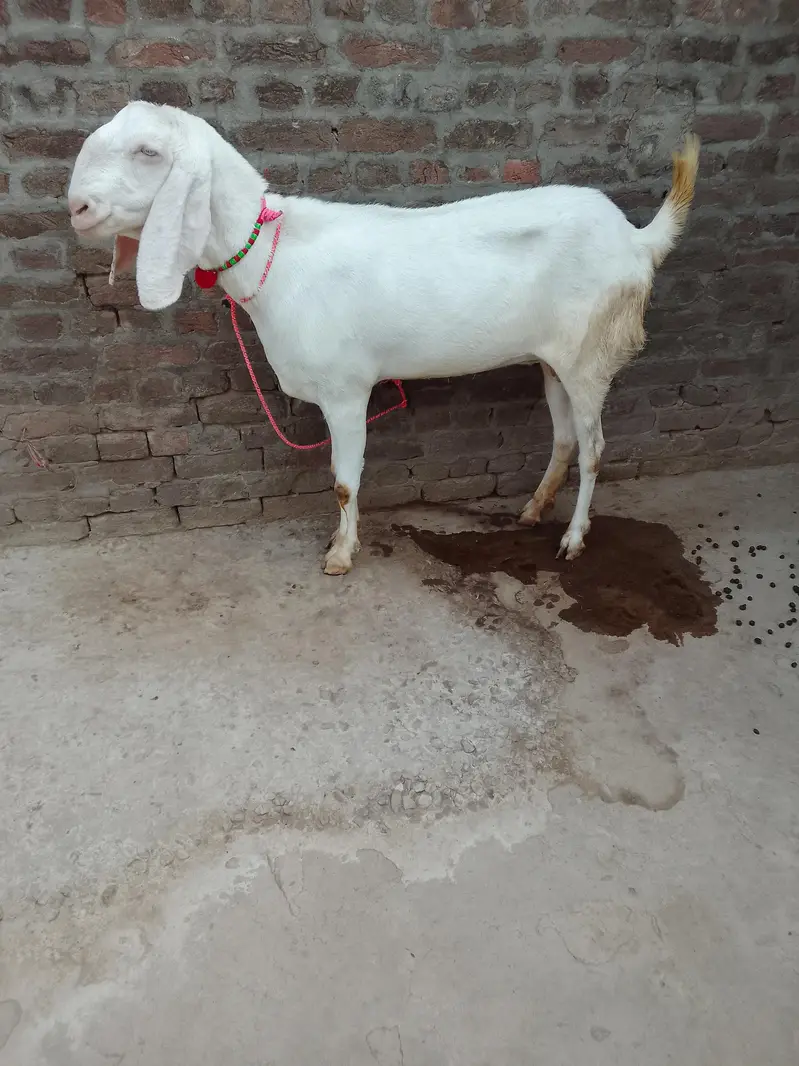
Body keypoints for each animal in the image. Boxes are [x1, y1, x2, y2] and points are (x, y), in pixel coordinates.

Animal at [68, 102, 699, 575]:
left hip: (591, 355)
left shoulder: (347, 391)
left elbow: (345, 483)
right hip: (554, 360)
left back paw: (572, 539)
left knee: (593, 448)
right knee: (566, 439)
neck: (275, 253)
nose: (77, 207)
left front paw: (341, 555)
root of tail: (637, 240)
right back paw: (532, 511)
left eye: (148, 152)